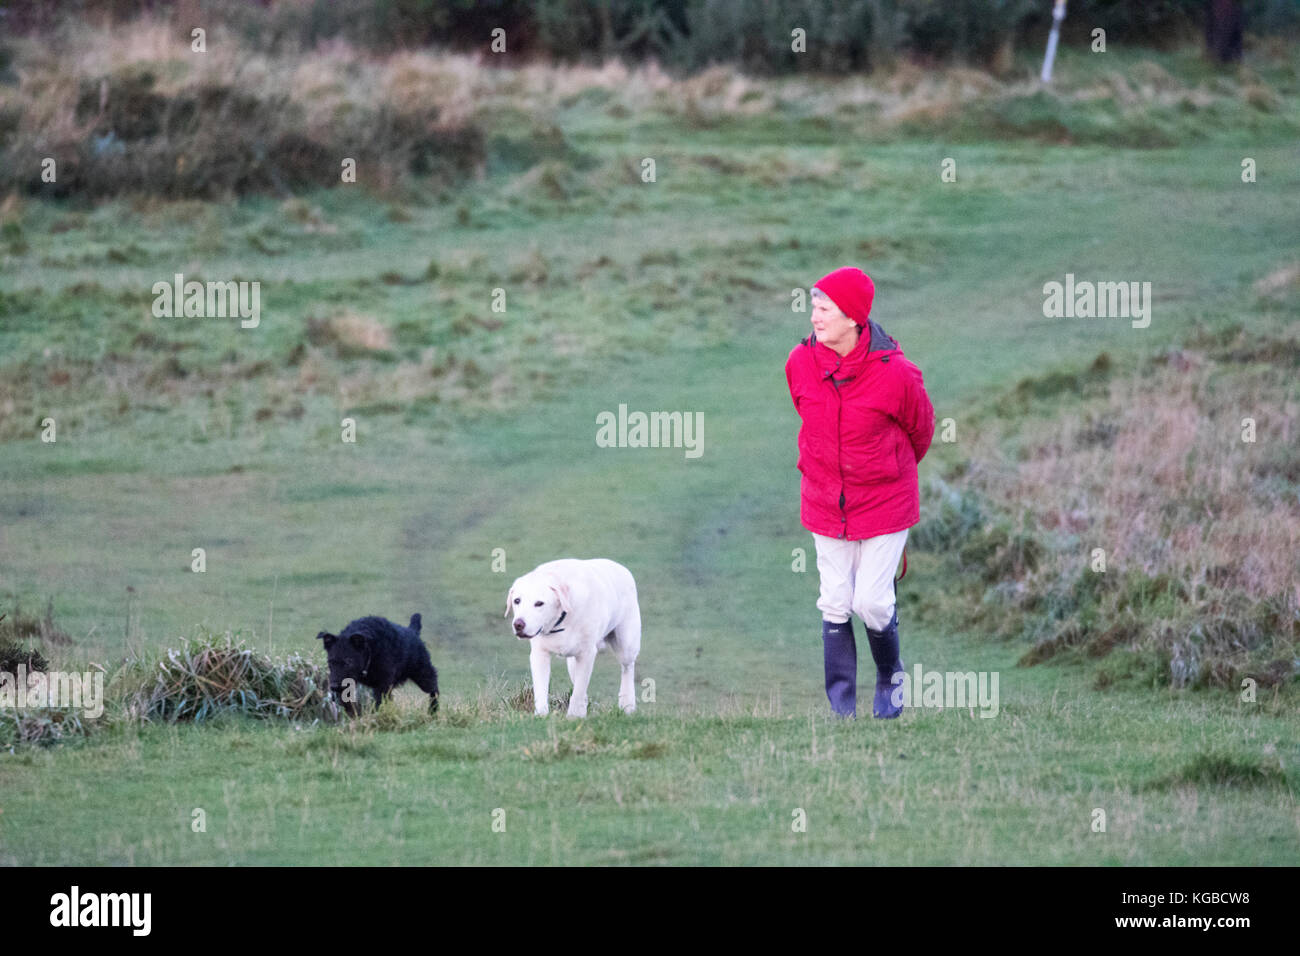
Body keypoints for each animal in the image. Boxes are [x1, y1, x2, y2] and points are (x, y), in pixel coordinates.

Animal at [509, 556, 647, 712]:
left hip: (626, 646)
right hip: (572, 662)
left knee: (627, 668)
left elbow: (578, 691)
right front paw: (541, 714)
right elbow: (541, 691)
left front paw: (574, 715)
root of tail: (621, 567)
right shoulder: (540, 654)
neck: (560, 621)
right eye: (517, 601)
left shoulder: (586, 654)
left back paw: (627, 705)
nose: (518, 624)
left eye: (539, 603)